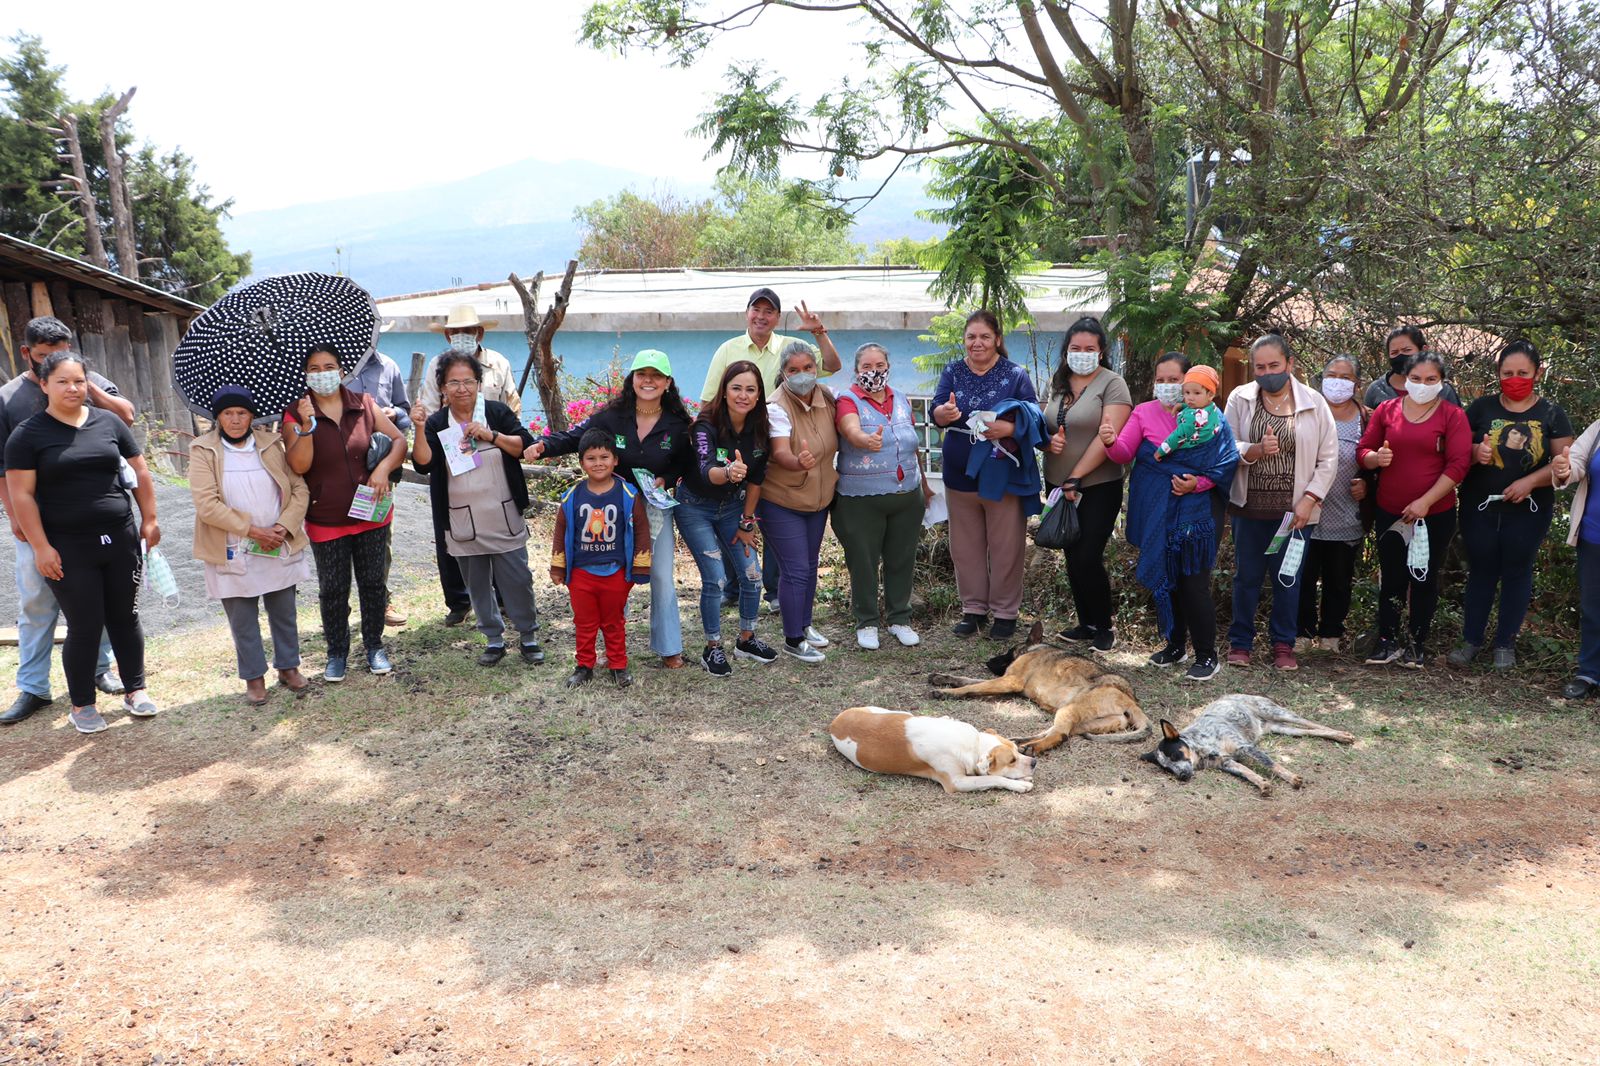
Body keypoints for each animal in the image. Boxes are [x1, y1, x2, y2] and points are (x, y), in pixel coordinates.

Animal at [825, 704, 1036, 787]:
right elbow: (992, 779)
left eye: (1016, 750)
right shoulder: (956, 783)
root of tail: (834, 723)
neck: (973, 744)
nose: (1034, 762)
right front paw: (1020, 784)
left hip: (894, 712)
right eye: (1011, 760)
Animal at [934, 617, 1145, 752]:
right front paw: (941, 678)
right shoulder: (1003, 680)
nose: (988, 662)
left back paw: (1032, 748)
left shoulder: (1010, 681)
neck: (1034, 648)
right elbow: (969, 681)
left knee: (1060, 735)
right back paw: (1022, 741)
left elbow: (971, 687)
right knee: (1059, 731)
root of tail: (1130, 702)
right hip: (1084, 721)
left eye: (1009, 651)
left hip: (1070, 709)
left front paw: (946, 692)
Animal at [1145, 694, 1356, 793]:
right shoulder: (1227, 763)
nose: (1181, 776)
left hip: (1277, 712)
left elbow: (1271, 764)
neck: (1201, 747)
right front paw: (1262, 784)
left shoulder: (1245, 747)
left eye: (1175, 755)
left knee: (1311, 722)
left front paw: (1291, 778)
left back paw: (1342, 734)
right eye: (1167, 769)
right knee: (1307, 731)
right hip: (1282, 728)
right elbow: (1247, 773)